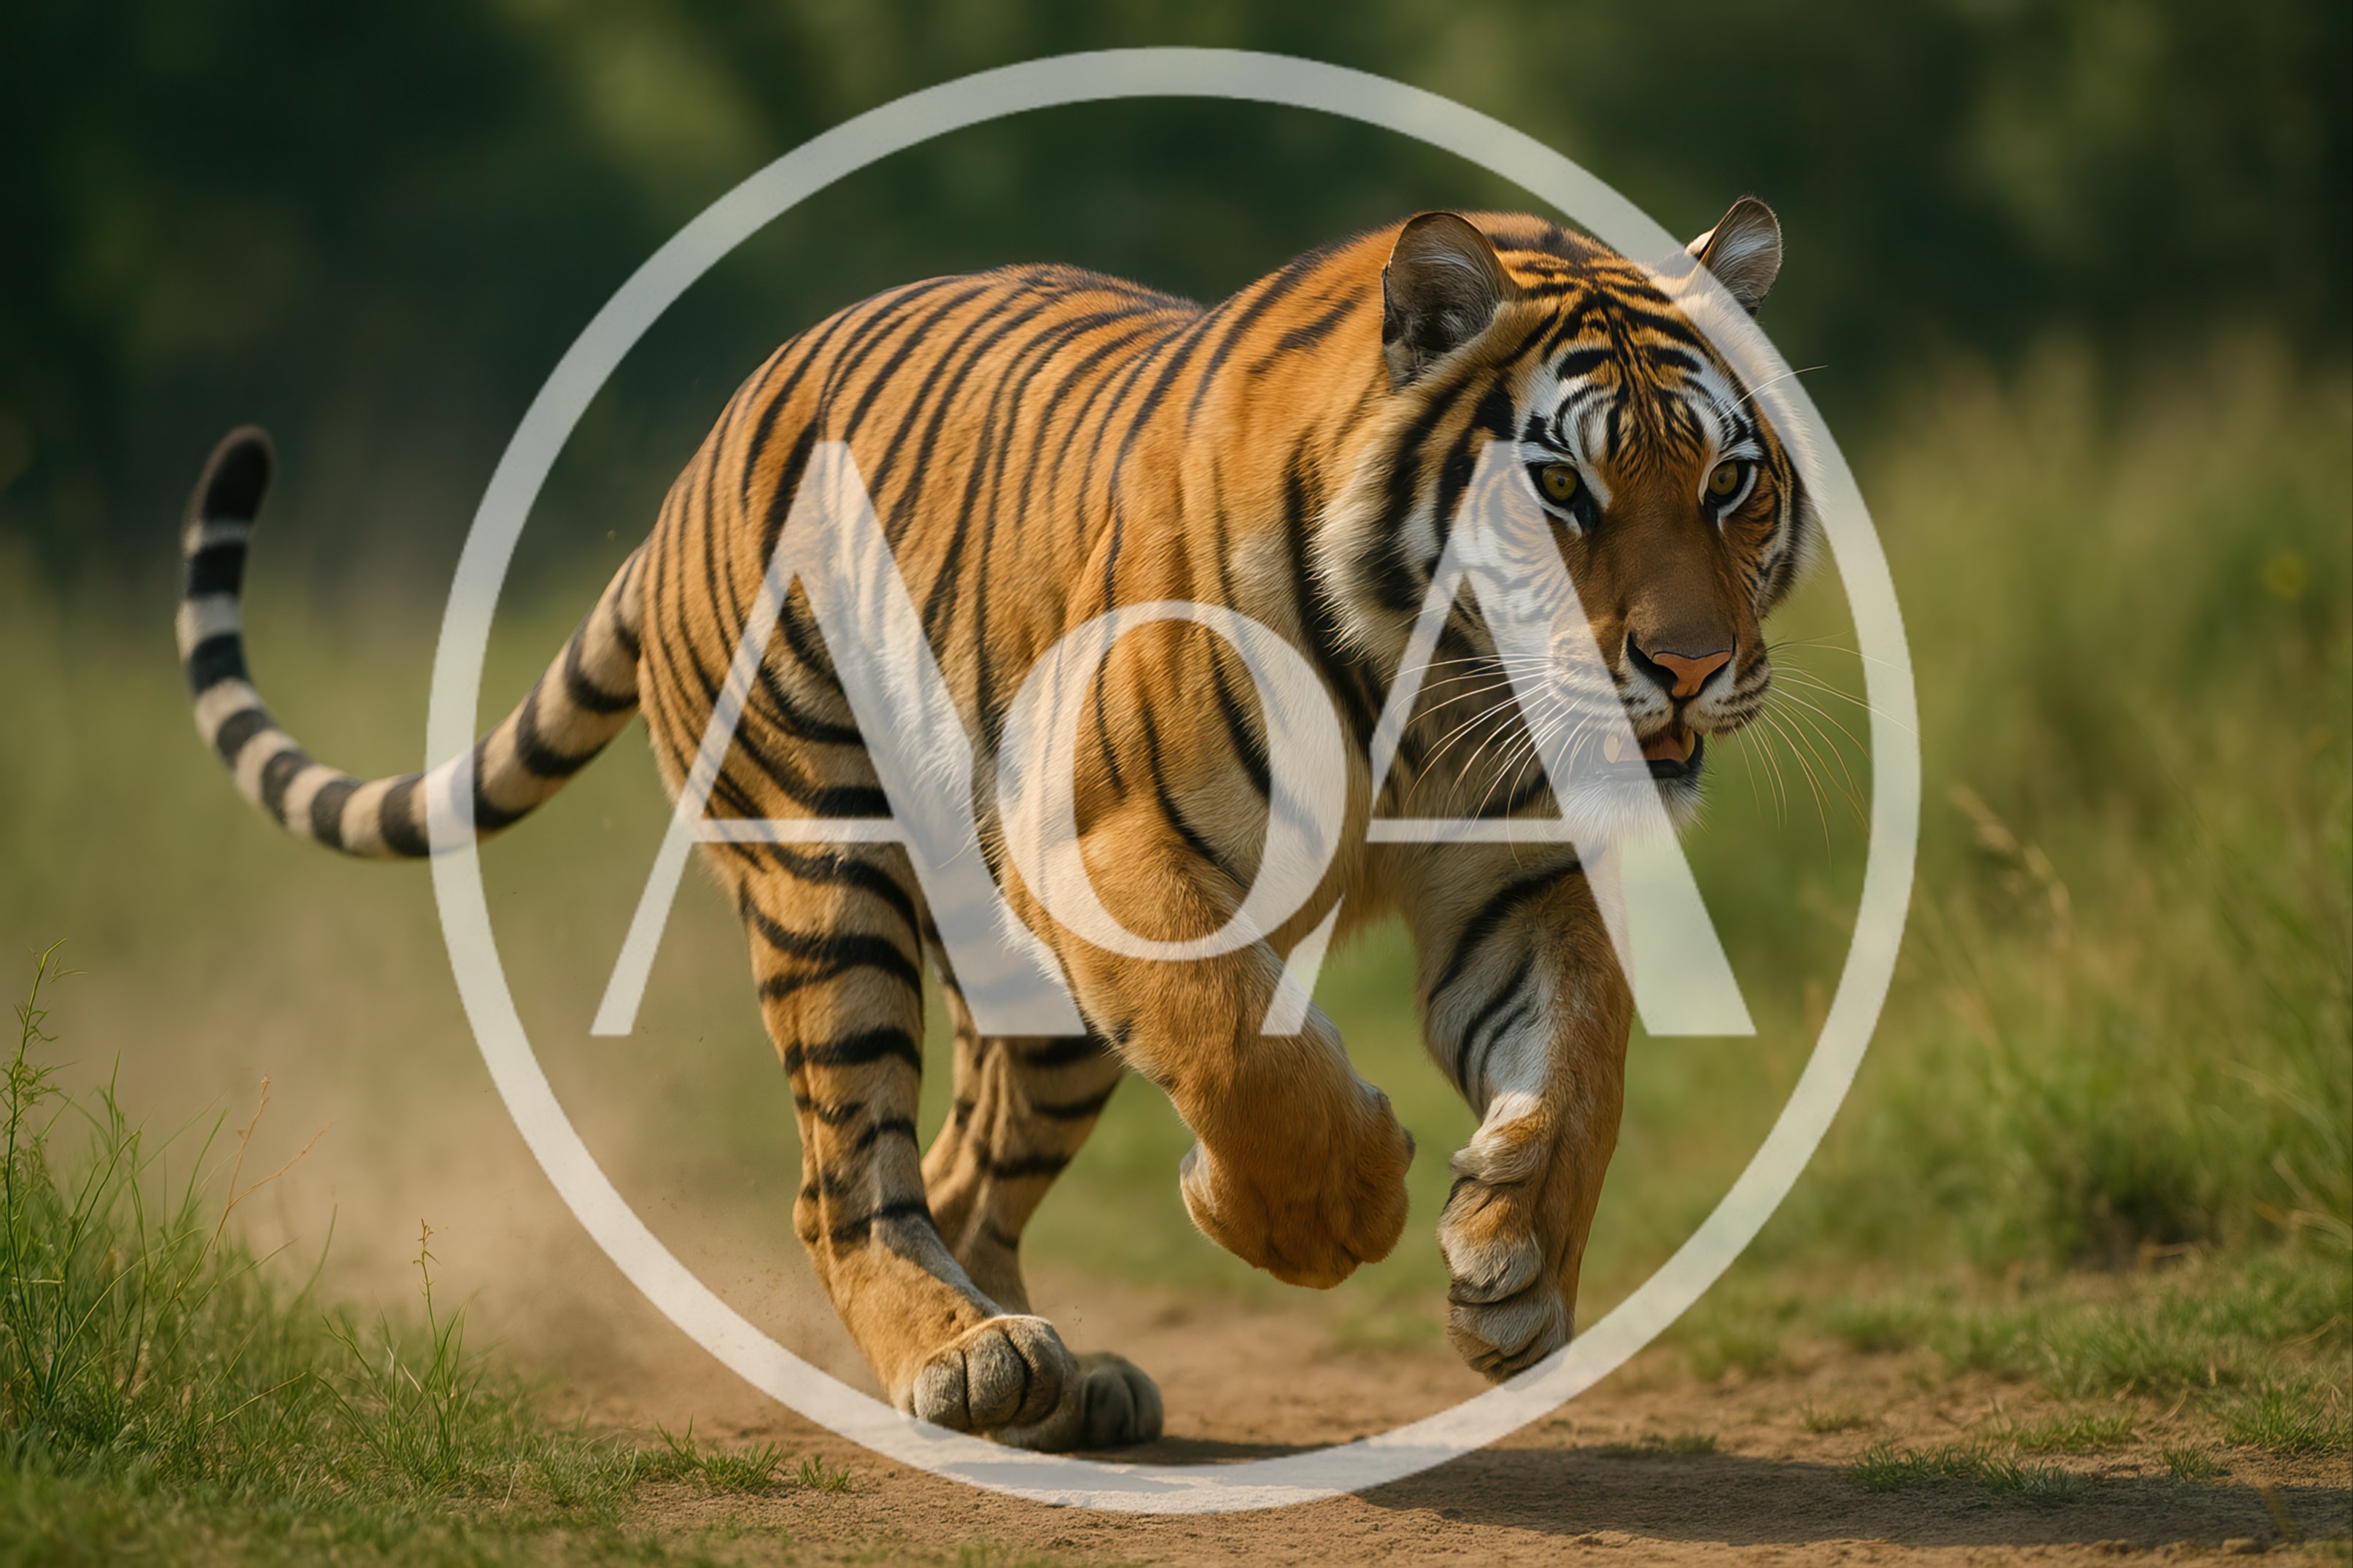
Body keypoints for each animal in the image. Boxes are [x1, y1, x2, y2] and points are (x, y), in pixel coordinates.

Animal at [175, 197, 1811, 1451]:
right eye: (1559, 488)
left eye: (1730, 481)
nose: (1685, 667)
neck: (1431, 693)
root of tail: (691, 473)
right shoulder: (1104, 844)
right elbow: (1242, 1050)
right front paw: (1327, 1214)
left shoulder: (1518, 875)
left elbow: (1581, 1059)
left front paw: (1515, 1268)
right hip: (823, 870)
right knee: (843, 1179)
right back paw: (958, 1361)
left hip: (1036, 1001)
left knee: (962, 1173)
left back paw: (1053, 1379)